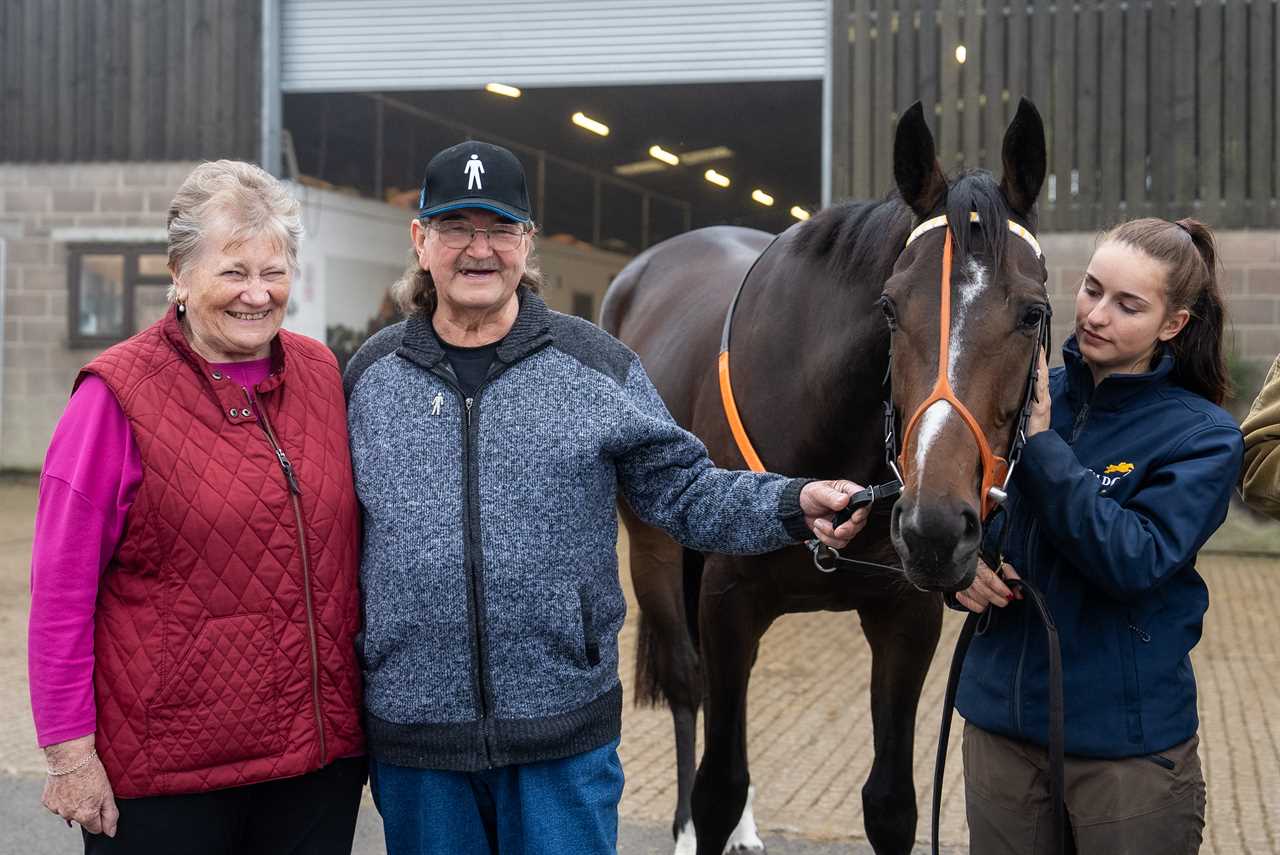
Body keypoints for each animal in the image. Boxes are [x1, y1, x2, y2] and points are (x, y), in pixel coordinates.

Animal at [599, 96, 1049, 849]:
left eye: (1033, 312)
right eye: (889, 307)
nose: (934, 529)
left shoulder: (905, 615)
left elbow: (890, 802)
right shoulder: (728, 600)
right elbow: (719, 783)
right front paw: (706, 819)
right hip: (657, 555)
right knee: (691, 686)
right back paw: (685, 827)